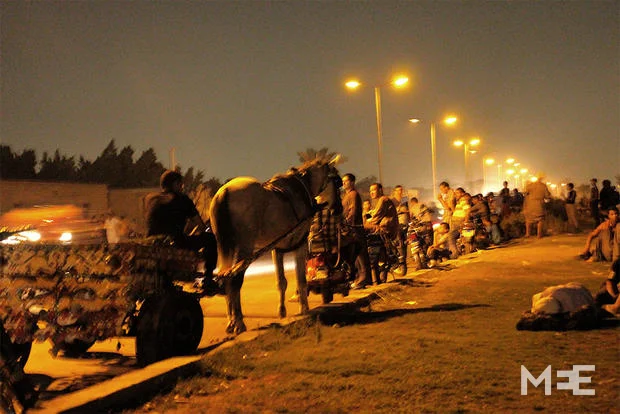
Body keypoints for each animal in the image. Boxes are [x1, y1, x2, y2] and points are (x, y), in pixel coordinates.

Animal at [209, 156, 342, 334]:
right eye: (337, 181)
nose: (339, 208)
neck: (302, 187)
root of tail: (225, 192)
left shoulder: (276, 249)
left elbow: (281, 281)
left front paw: (282, 311)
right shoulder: (300, 244)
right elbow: (301, 279)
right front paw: (304, 308)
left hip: (226, 247)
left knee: (225, 277)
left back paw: (231, 321)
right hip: (244, 247)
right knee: (235, 279)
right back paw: (239, 322)